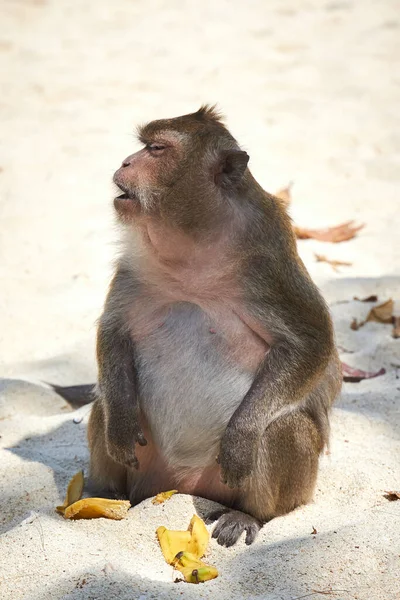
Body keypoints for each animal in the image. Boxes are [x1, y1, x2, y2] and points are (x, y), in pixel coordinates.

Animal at [82, 105, 344, 548]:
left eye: (156, 149)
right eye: (142, 147)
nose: (126, 162)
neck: (195, 242)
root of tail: (184, 485)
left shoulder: (266, 261)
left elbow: (311, 341)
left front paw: (239, 439)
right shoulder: (136, 259)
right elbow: (114, 329)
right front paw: (119, 425)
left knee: (282, 426)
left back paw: (249, 513)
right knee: (106, 401)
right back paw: (106, 497)